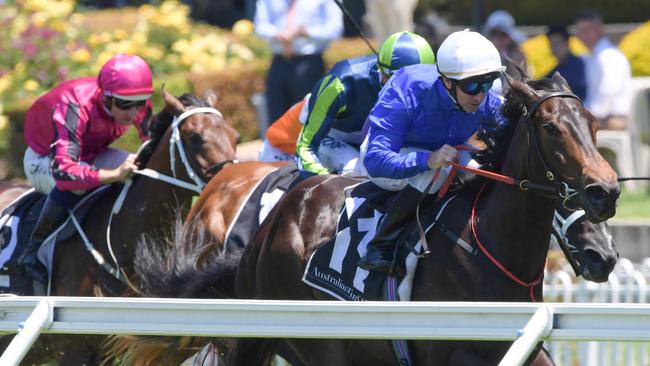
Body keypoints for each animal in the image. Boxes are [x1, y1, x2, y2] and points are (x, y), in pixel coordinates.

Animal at [218, 75, 616, 366]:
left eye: (593, 124)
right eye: (550, 127)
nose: (606, 192)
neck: (488, 247)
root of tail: (271, 225)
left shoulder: (527, 343)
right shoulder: (451, 350)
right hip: (319, 341)